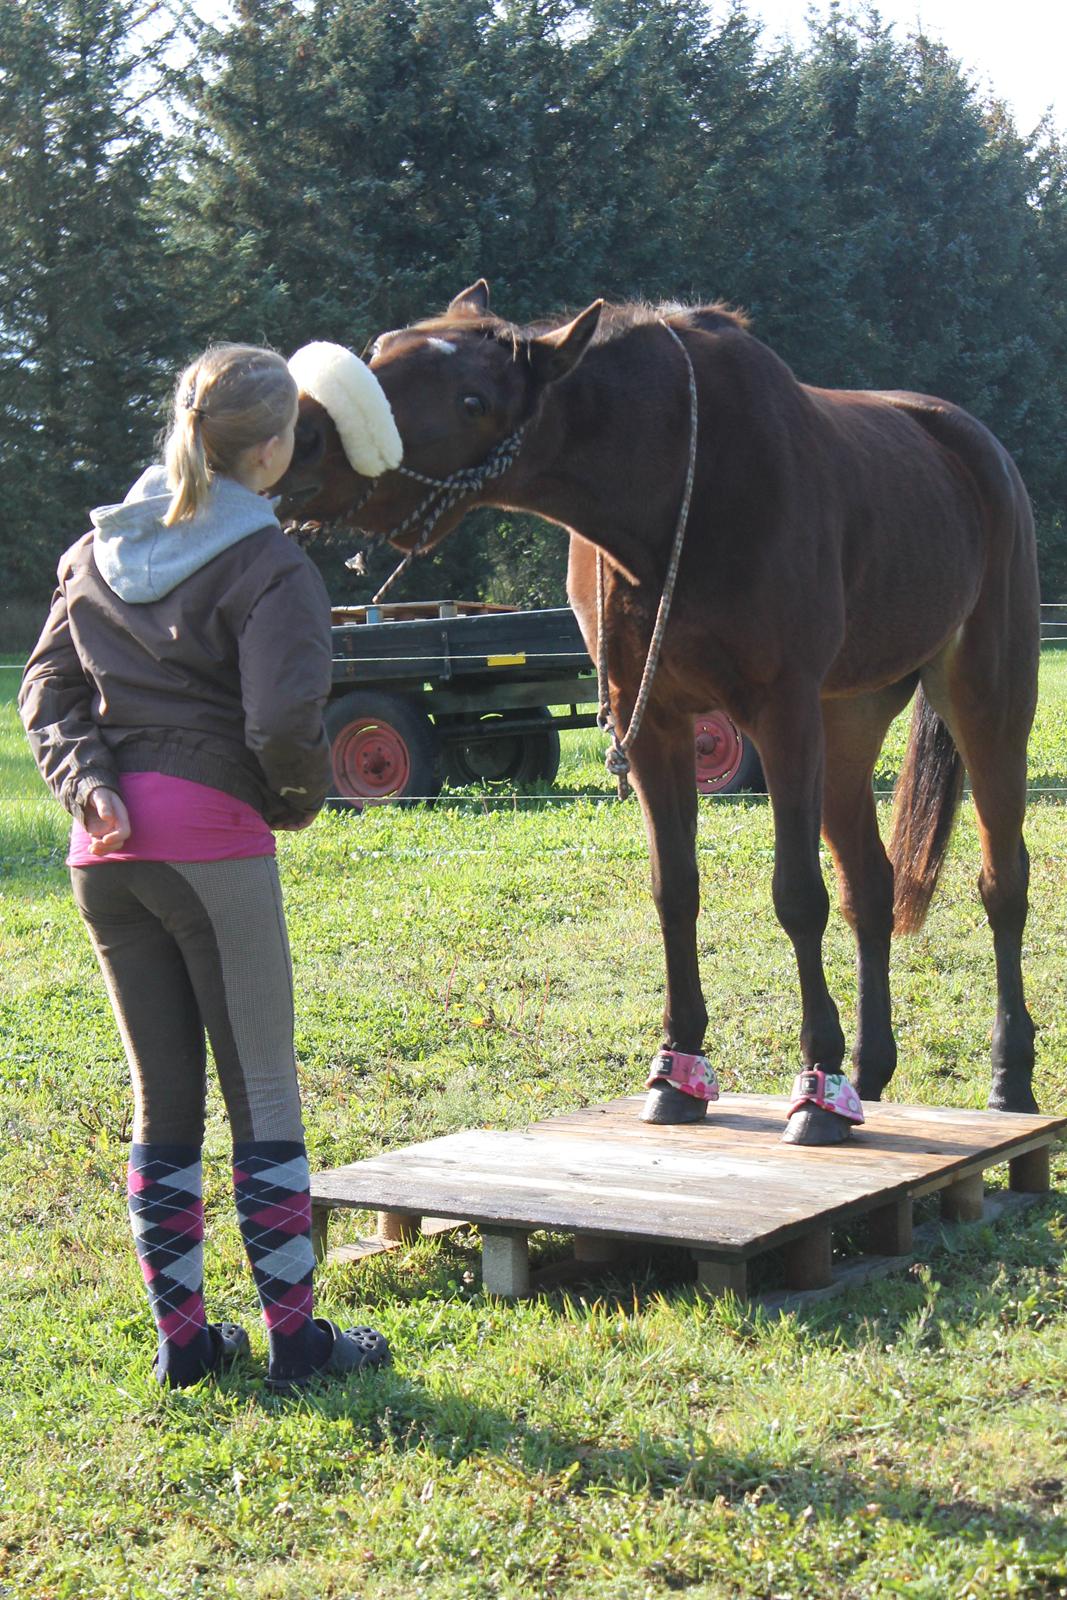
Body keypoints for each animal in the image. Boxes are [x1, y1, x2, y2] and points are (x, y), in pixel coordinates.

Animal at [278, 281, 1043, 1145]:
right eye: (381, 349)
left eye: (472, 399)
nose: (305, 436)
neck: (677, 485)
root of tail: (970, 446)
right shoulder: (651, 721)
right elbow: (673, 888)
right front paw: (679, 1071)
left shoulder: (780, 713)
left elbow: (796, 896)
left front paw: (814, 1086)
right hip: (848, 716)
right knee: (870, 887)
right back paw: (870, 1077)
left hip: (984, 693)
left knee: (1000, 882)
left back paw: (1004, 1078)